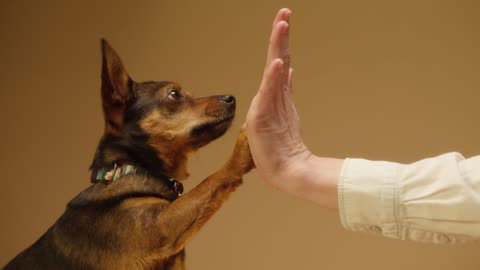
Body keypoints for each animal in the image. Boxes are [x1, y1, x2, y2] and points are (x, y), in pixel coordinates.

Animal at [2, 39, 255, 268]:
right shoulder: (160, 227)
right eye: (174, 94)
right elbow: (211, 180)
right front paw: (244, 146)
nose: (231, 98)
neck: (131, 168)